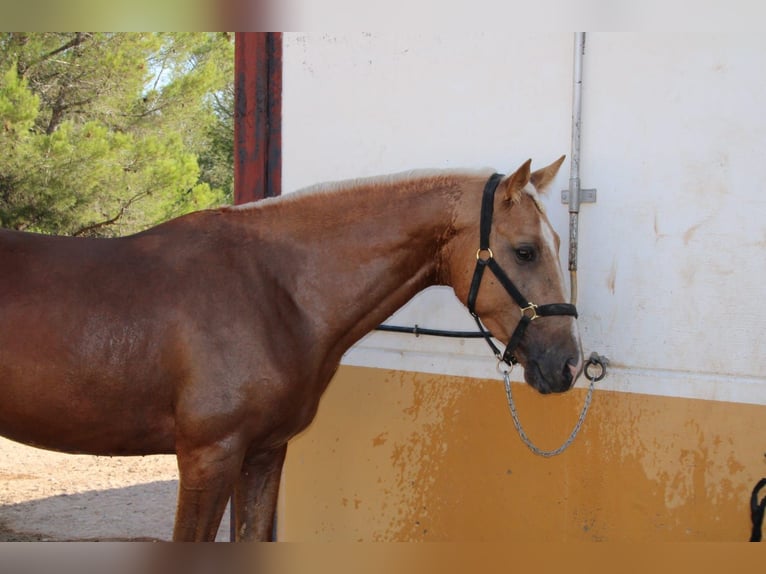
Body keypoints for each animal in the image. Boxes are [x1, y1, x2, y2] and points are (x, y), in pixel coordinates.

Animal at [0, 156, 584, 540]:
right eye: (525, 251)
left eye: (558, 244)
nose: (568, 364)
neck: (272, 290)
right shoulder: (208, 458)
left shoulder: (263, 453)